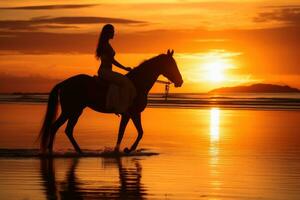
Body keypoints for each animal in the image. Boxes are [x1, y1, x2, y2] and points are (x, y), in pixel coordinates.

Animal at [38, 49, 183, 153]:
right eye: (172, 64)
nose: (180, 81)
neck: (137, 84)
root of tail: (64, 82)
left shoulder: (134, 114)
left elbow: (139, 132)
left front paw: (127, 149)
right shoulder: (129, 114)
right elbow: (123, 133)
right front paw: (122, 150)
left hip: (75, 111)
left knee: (66, 130)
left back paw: (77, 151)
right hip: (70, 110)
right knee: (57, 127)